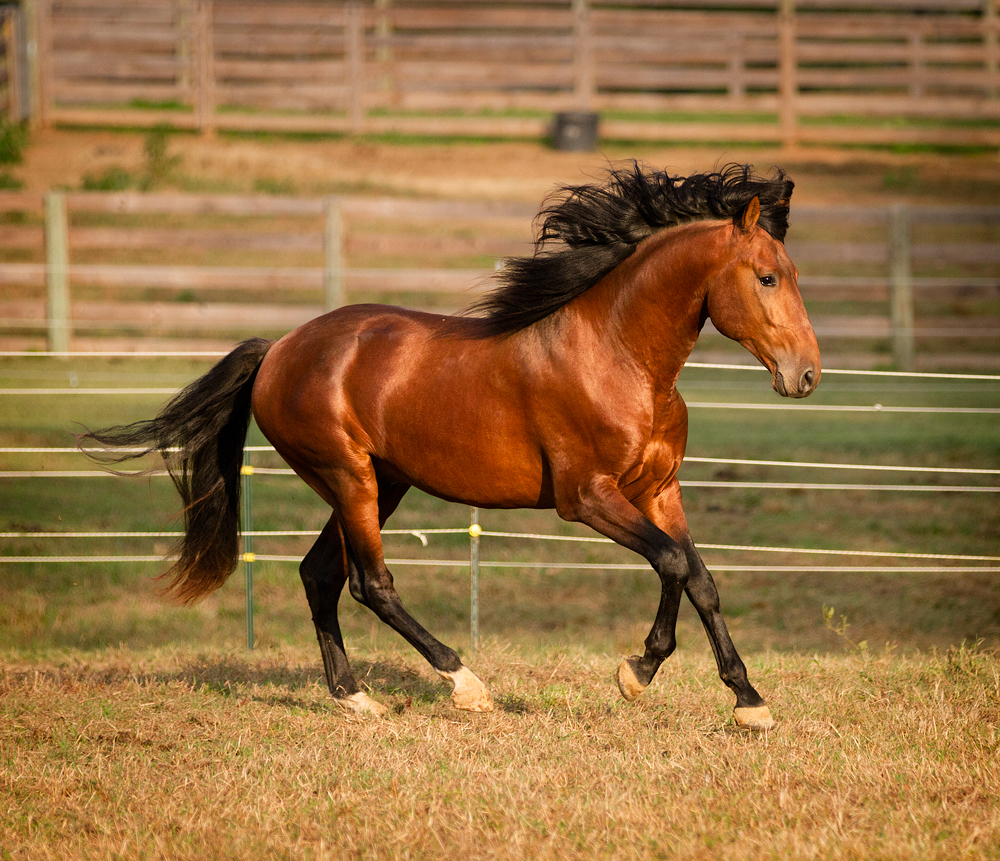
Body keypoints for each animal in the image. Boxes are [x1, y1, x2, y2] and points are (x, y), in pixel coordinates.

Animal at [82, 161, 820, 724]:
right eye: (766, 278)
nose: (806, 374)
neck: (618, 356)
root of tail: (280, 349)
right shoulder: (587, 497)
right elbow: (671, 563)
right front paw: (637, 671)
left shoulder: (659, 489)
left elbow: (699, 577)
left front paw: (747, 700)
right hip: (351, 478)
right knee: (369, 583)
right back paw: (465, 684)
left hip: (380, 482)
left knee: (319, 574)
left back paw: (357, 699)